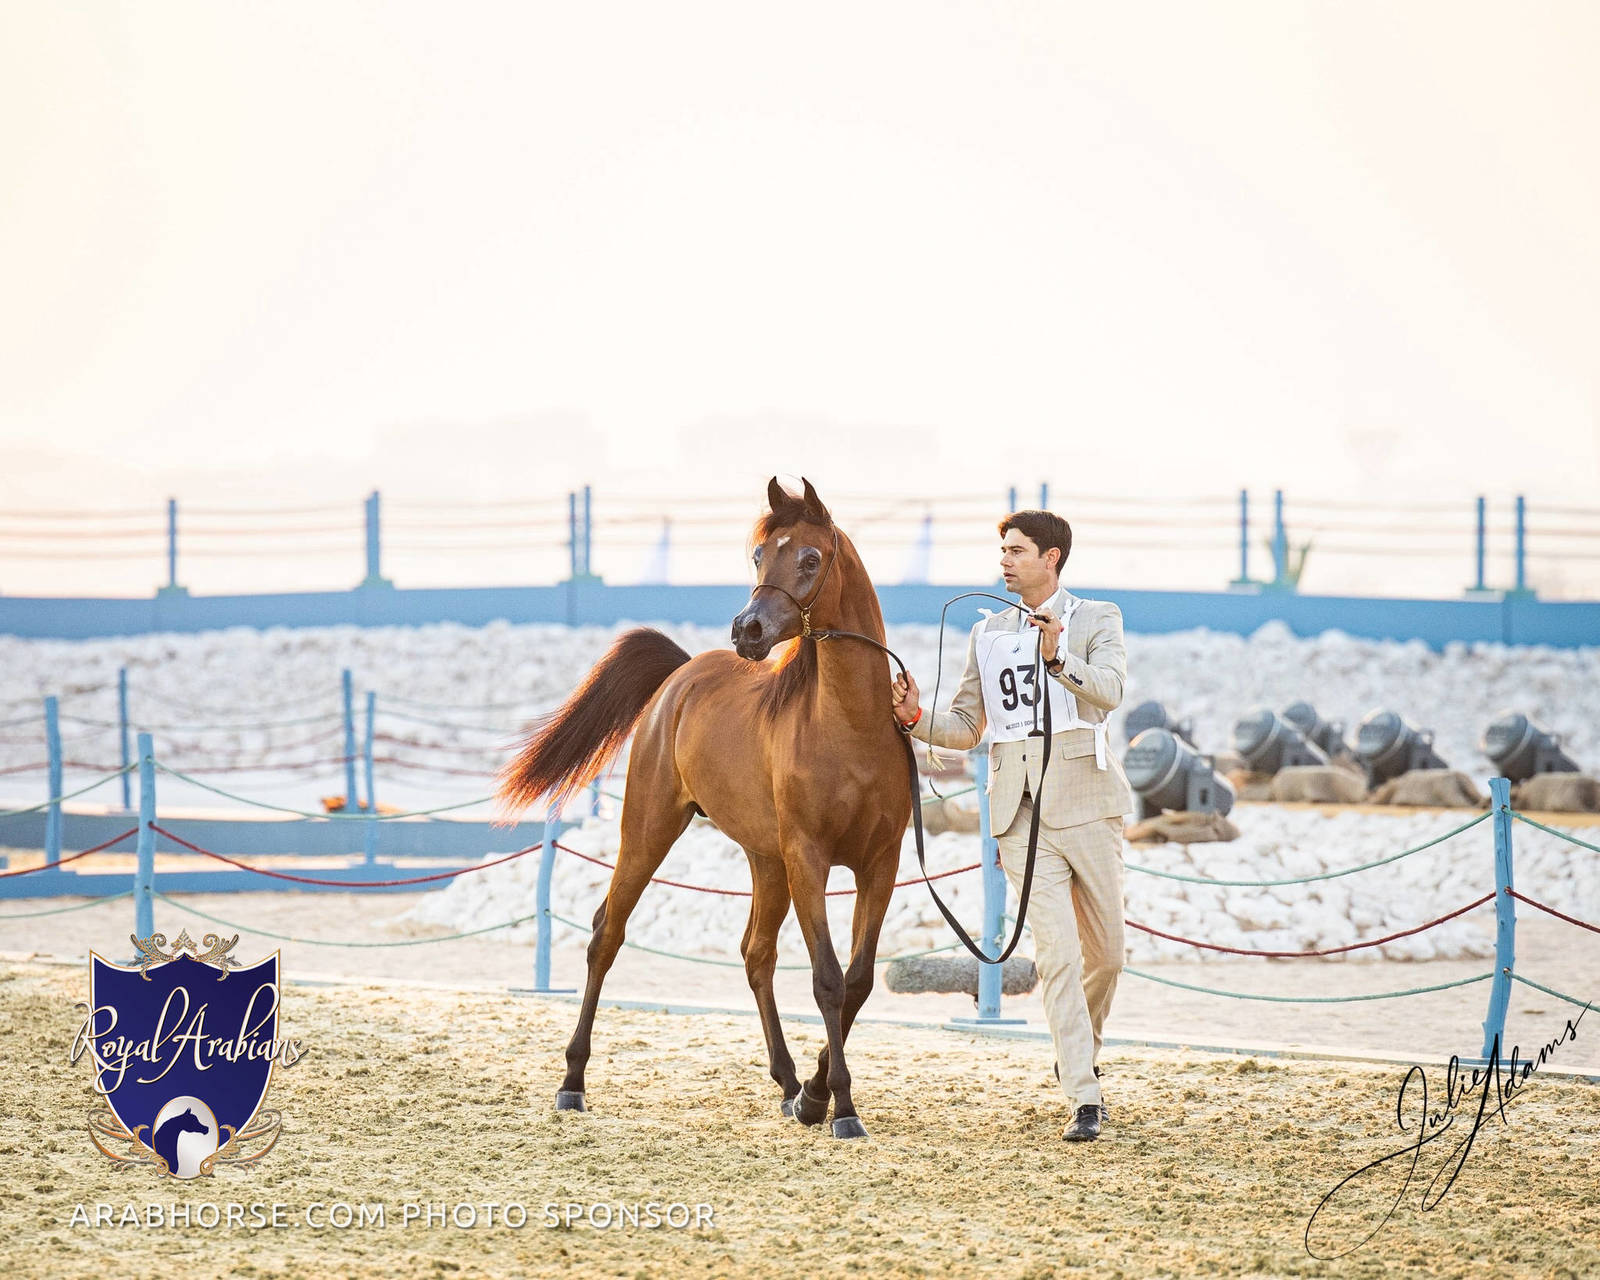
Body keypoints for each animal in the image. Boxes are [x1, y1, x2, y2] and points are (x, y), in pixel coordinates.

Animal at [496, 477, 911, 1138]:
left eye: (810, 558)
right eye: (759, 555)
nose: (748, 630)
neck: (849, 727)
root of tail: (680, 677)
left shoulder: (880, 865)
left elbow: (859, 981)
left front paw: (814, 1095)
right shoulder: (811, 861)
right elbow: (827, 980)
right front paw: (840, 1108)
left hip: (766, 862)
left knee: (756, 954)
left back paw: (787, 1082)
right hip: (650, 831)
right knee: (605, 934)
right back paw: (572, 1083)